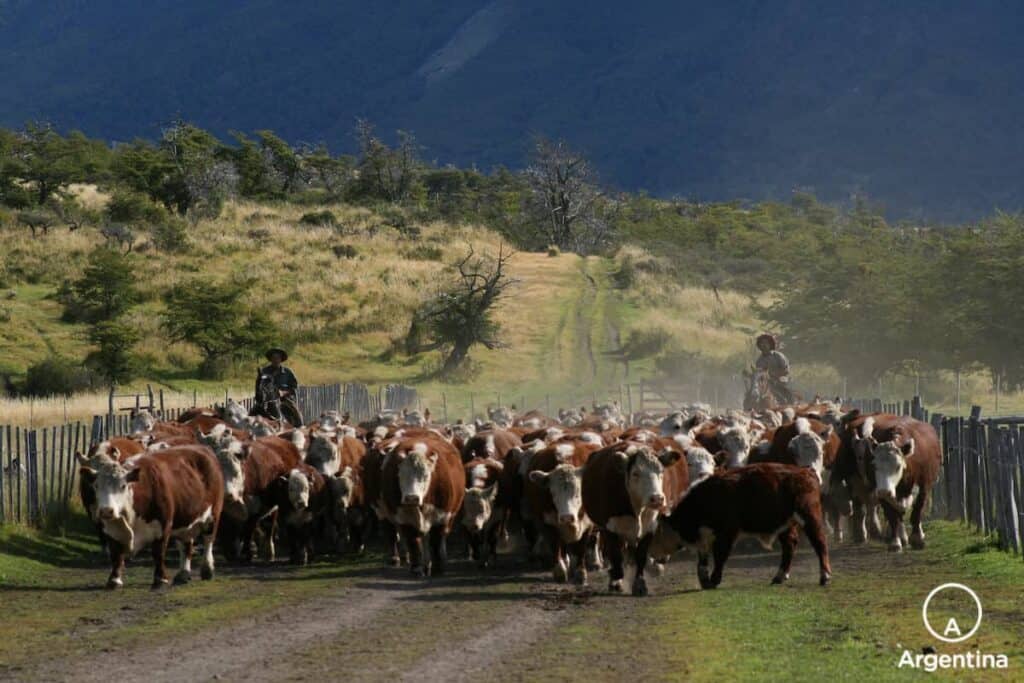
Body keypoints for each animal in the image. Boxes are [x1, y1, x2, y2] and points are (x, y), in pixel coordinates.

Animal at [76, 448, 225, 589]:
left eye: (123, 486)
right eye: (96, 486)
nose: (106, 510)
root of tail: (204, 449)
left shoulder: (163, 525)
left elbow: (158, 553)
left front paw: (160, 579)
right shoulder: (112, 529)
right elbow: (116, 554)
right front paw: (114, 580)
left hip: (213, 516)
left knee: (208, 541)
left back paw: (207, 569)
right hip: (185, 521)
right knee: (186, 545)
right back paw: (183, 573)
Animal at [376, 438, 464, 577]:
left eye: (426, 476)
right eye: (400, 475)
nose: (412, 497)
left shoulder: (441, 516)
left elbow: (436, 542)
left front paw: (437, 569)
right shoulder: (404, 518)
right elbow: (413, 543)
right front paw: (416, 569)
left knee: (437, 539)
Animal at [581, 440, 684, 593]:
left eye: (661, 472)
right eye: (636, 473)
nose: (657, 498)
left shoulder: (650, 526)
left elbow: (640, 555)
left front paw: (640, 584)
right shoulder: (611, 526)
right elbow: (615, 555)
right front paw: (616, 578)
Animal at [651, 462, 835, 589]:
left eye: (657, 533)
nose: (654, 556)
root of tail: (805, 471)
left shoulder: (727, 533)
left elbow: (720, 556)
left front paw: (714, 579)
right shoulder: (705, 536)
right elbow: (702, 559)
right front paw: (705, 580)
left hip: (809, 516)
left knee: (819, 542)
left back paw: (824, 576)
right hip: (785, 524)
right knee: (790, 546)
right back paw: (779, 576)